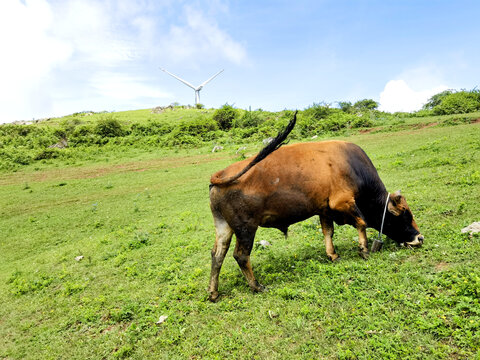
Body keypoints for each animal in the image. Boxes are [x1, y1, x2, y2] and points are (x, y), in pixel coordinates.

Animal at [207, 113, 424, 300]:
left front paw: (333, 254)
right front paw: (363, 249)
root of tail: (220, 175)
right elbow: (361, 222)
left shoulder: (325, 209)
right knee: (241, 256)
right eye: (404, 213)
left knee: (217, 255)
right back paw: (256, 286)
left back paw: (213, 293)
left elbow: (328, 232)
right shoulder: (343, 202)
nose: (420, 238)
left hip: (224, 227)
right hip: (246, 228)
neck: (353, 167)